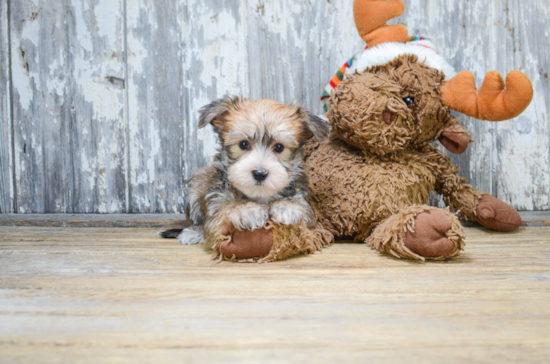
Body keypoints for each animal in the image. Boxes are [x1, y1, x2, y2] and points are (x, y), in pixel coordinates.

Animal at [162, 95, 330, 252]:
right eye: (243, 144)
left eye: (279, 147)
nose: (260, 173)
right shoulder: (216, 201)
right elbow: (225, 209)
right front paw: (246, 210)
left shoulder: (307, 209)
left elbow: (302, 208)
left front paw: (287, 206)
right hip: (197, 184)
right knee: (198, 220)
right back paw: (193, 233)